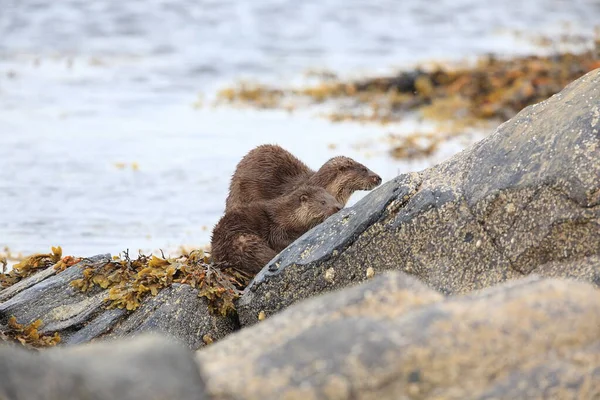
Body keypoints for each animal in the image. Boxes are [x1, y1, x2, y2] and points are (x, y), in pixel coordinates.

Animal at [211, 185, 342, 276]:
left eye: (334, 198)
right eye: (322, 202)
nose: (339, 207)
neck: (286, 216)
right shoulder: (276, 229)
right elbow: (280, 241)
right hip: (244, 241)